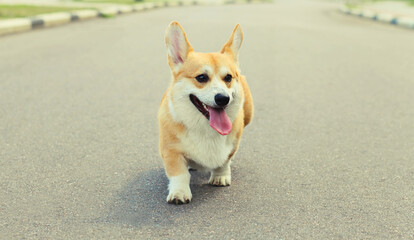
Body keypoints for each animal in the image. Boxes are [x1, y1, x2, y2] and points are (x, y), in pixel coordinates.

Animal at [158, 21, 254, 204]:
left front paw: (220, 176)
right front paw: (179, 192)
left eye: (228, 77)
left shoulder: (233, 143)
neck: (205, 128)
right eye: (201, 77)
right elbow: (179, 173)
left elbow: (224, 161)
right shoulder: (171, 150)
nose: (223, 98)